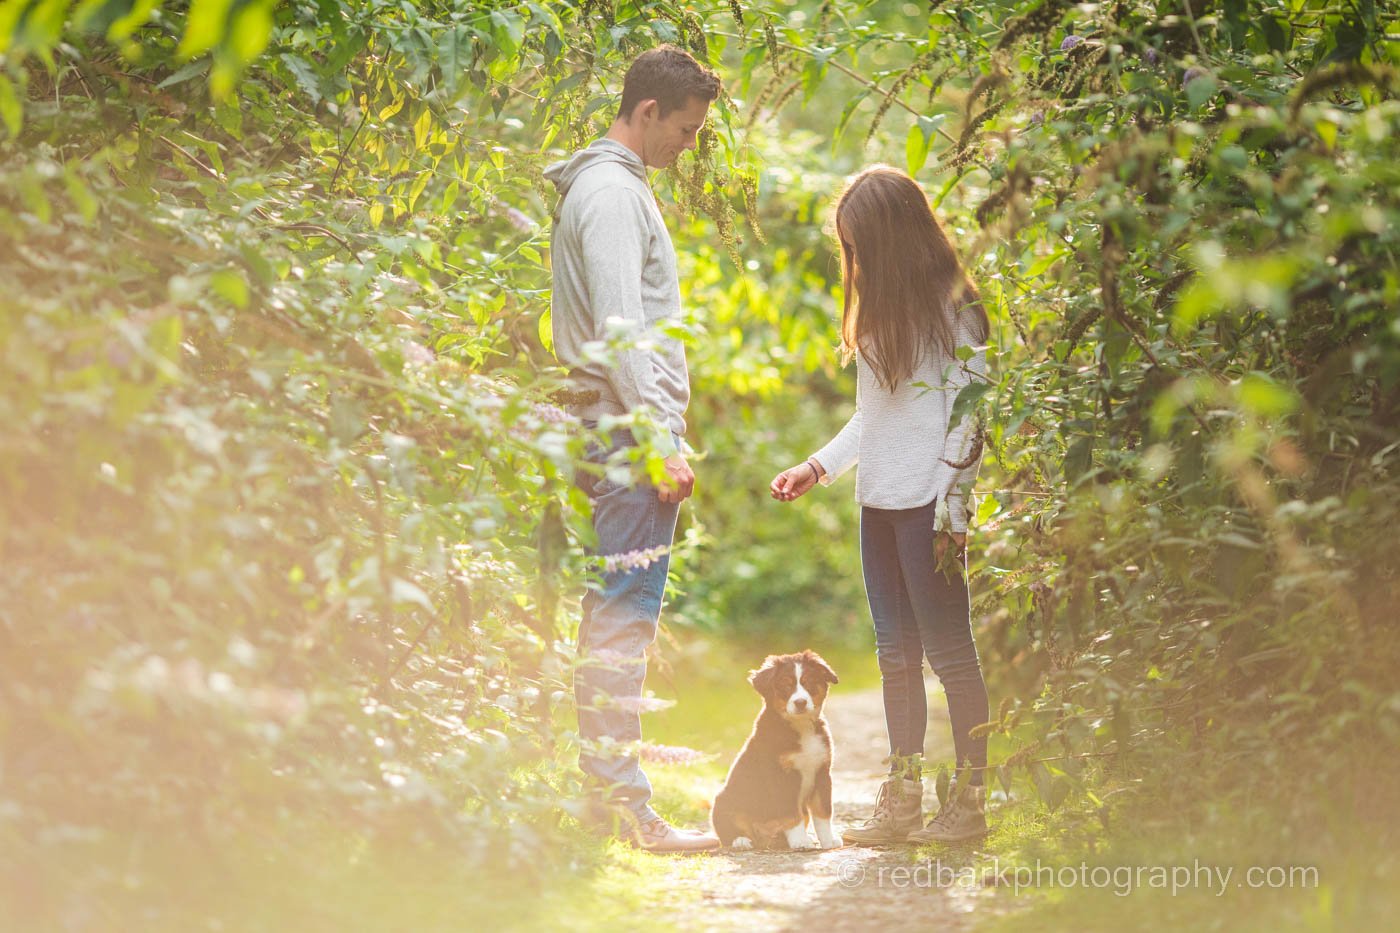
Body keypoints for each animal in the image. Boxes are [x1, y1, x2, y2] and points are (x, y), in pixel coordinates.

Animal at [716, 650, 834, 846]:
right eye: (786, 686)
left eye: (809, 682)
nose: (800, 702)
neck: (801, 726)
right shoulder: (781, 775)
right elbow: (791, 814)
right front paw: (800, 842)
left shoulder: (822, 771)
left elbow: (823, 812)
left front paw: (829, 840)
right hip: (724, 800)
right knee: (726, 830)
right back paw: (740, 841)